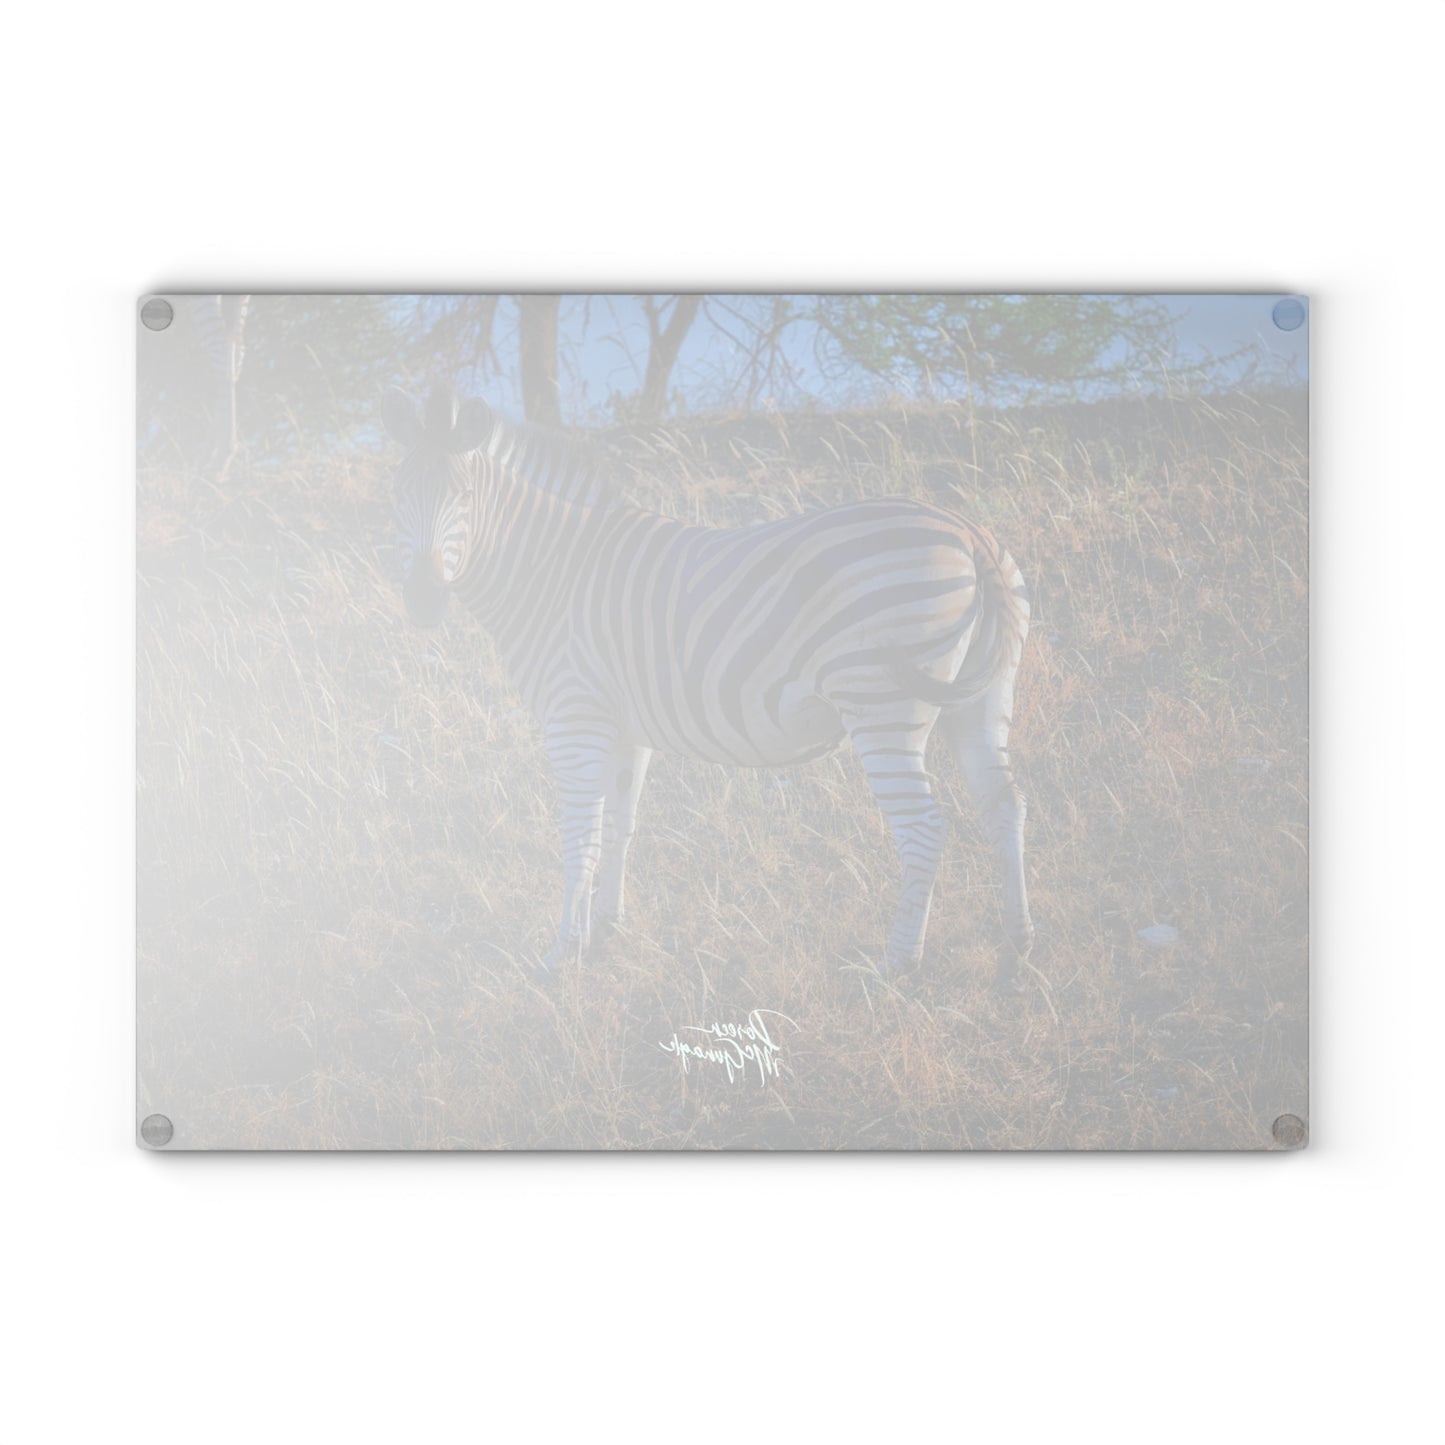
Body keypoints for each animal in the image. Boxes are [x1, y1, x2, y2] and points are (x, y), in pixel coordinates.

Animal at [385, 386, 1033, 984]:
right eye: (395, 498)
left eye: (465, 498)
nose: (421, 601)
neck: (550, 572)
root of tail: (969, 533)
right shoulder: (625, 728)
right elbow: (620, 827)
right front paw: (605, 932)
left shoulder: (575, 718)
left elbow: (580, 837)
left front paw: (560, 954)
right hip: (983, 700)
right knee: (1004, 806)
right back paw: (1015, 946)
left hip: (882, 706)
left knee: (923, 828)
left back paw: (896, 965)